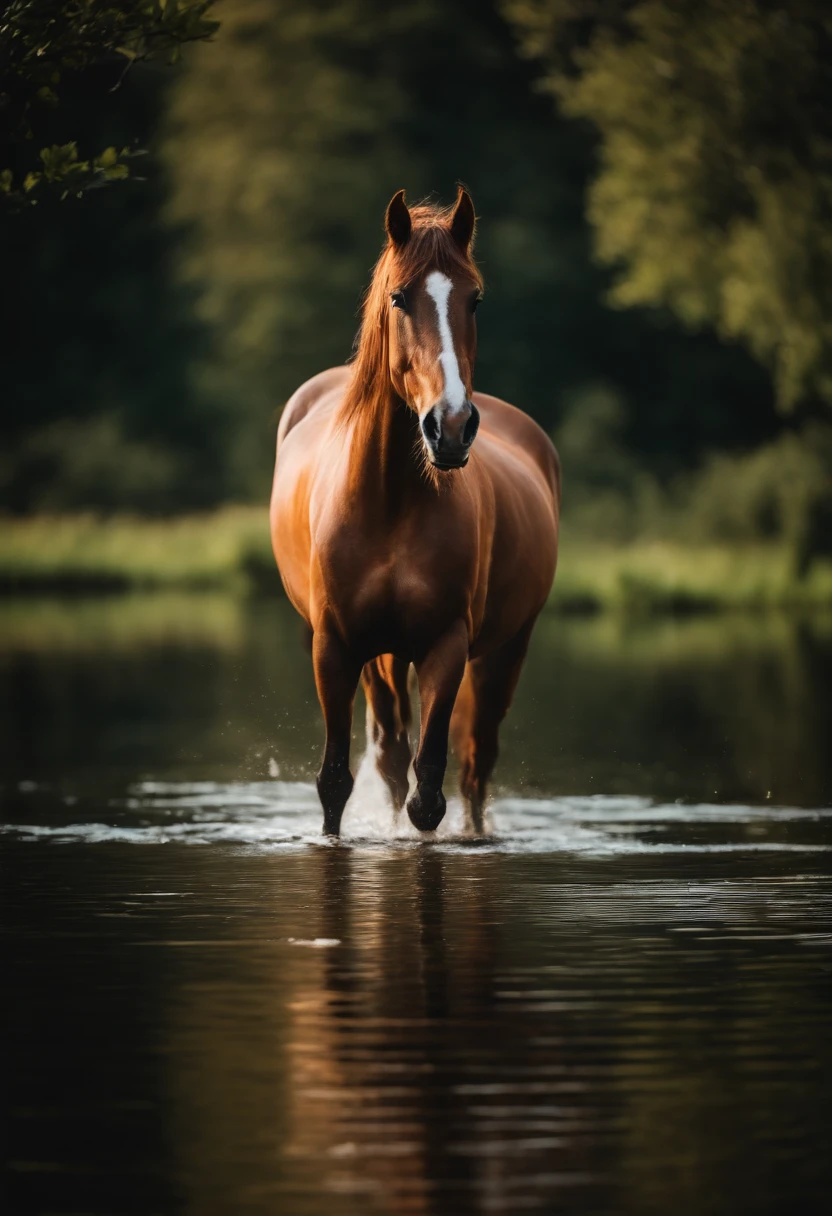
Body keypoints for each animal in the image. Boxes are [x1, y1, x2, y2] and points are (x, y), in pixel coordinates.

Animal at [271, 187, 559, 836]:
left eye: (475, 299)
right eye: (399, 297)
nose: (450, 426)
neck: (390, 501)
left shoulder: (445, 648)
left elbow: (429, 790)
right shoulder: (335, 647)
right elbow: (337, 781)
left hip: (505, 651)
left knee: (474, 764)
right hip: (381, 657)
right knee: (392, 756)